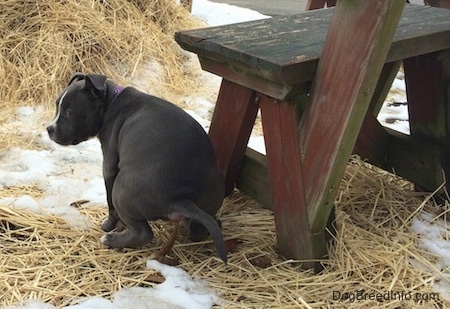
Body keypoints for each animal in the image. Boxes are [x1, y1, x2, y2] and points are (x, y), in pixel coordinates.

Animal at [48, 73, 229, 262]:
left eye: (69, 113)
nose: (49, 129)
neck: (110, 101)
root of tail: (180, 199)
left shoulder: (109, 168)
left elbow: (111, 206)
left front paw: (108, 226)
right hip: (213, 194)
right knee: (205, 227)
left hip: (121, 190)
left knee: (143, 233)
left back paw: (111, 240)